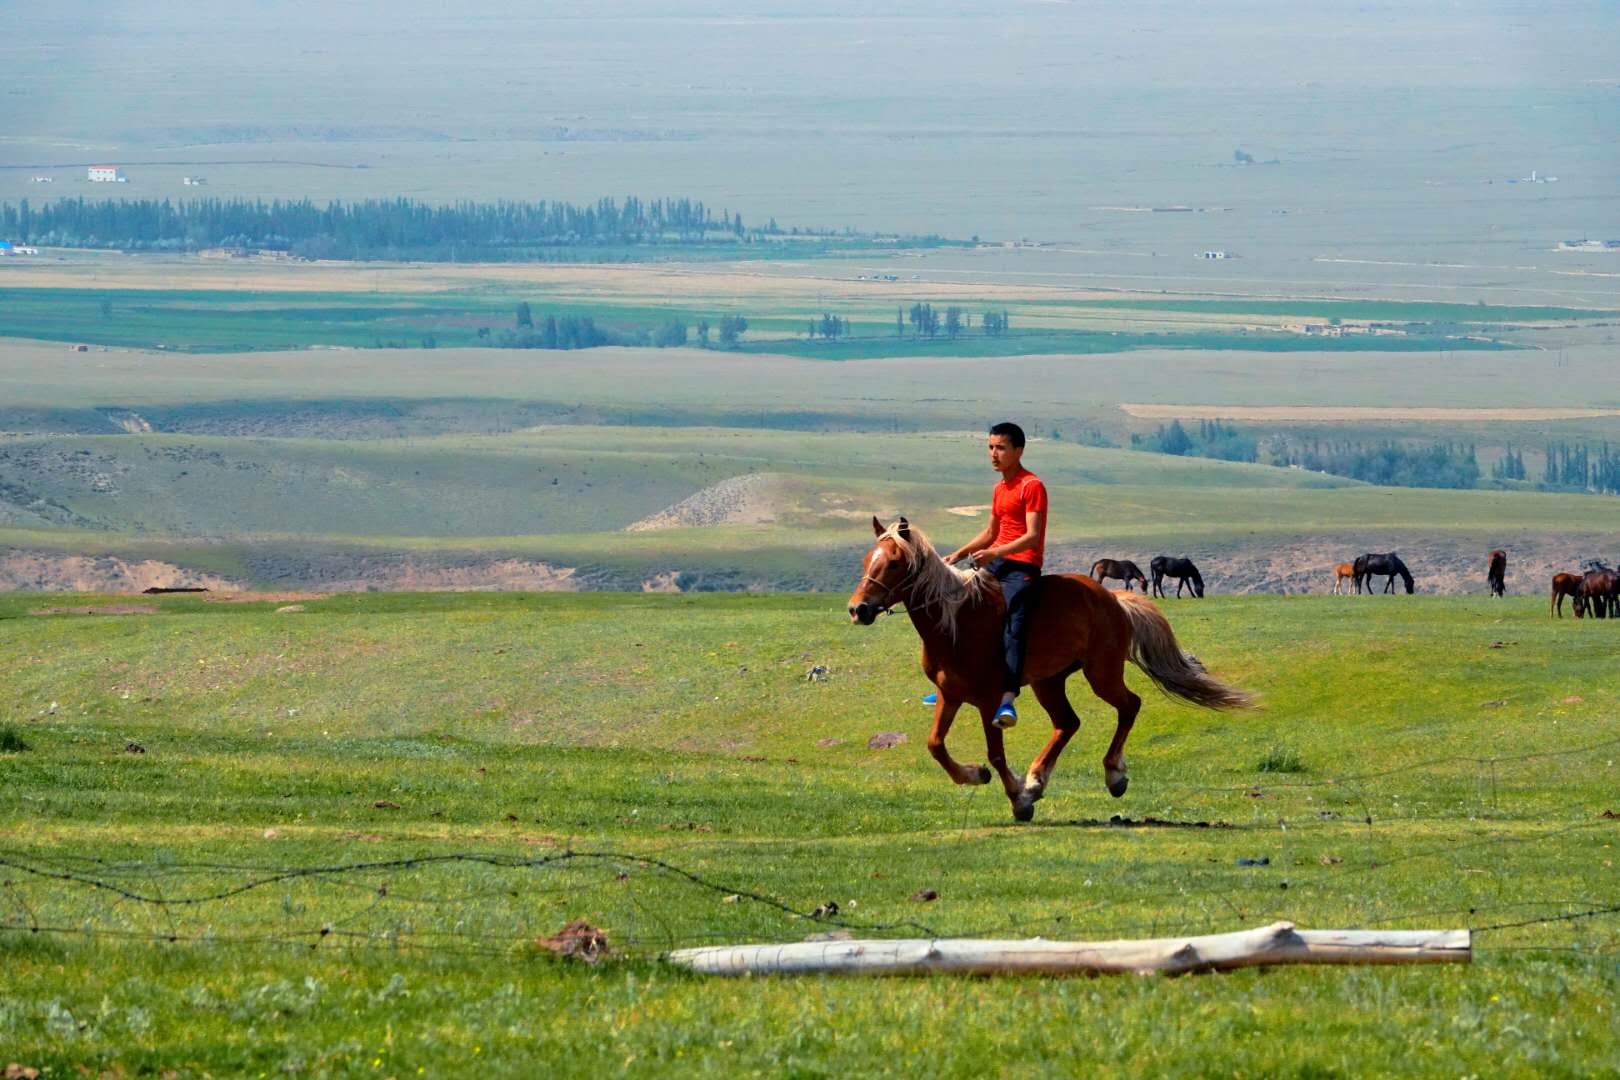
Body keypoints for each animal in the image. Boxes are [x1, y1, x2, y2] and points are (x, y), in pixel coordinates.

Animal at [855, 518, 1257, 822]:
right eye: (866, 560)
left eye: (893, 564)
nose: (857, 609)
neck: (955, 623)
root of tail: (1112, 599)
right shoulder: (950, 694)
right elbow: (935, 745)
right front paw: (979, 776)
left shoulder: (988, 700)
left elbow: (996, 753)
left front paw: (1018, 800)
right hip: (1049, 681)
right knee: (1068, 722)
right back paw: (1037, 780)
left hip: (1101, 673)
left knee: (1130, 705)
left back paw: (1113, 774)